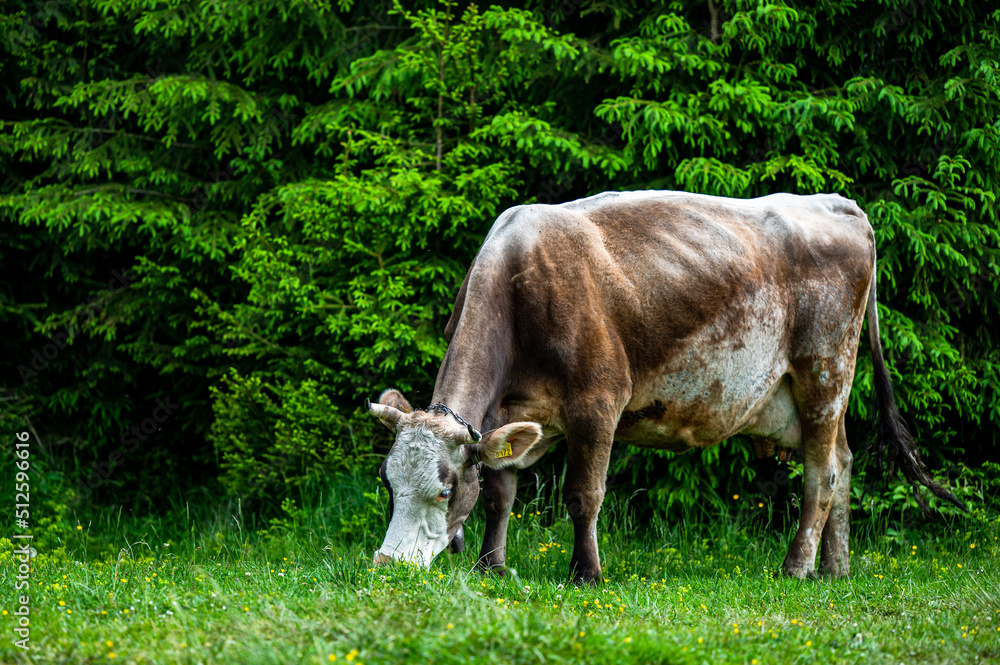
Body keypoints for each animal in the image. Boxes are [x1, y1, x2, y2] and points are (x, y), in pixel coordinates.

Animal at [366, 190, 964, 583]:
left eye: (444, 491)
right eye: (388, 484)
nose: (386, 564)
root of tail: (838, 202)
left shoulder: (598, 403)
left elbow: (584, 496)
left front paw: (586, 573)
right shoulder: (511, 415)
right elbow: (500, 492)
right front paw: (492, 566)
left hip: (825, 370)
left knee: (824, 473)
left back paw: (796, 568)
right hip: (802, 397)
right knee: (844, 459)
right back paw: (835, 569)